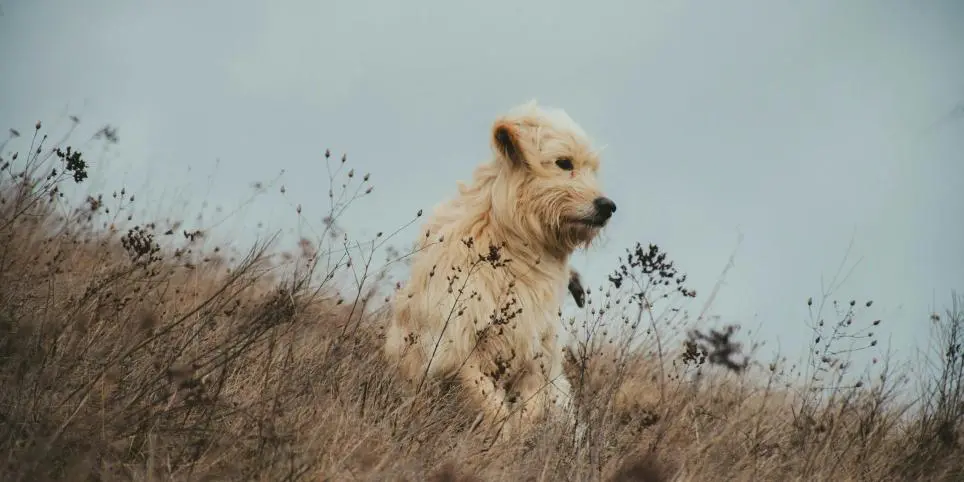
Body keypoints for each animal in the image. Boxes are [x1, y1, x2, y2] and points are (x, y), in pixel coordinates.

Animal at [384, 100, 616, 434]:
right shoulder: (456, 350)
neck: (515, 247)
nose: (607, 206)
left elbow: (528, 411)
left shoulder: (536, 360)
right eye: (563, 162)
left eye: (592, 169)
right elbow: (493, 411)